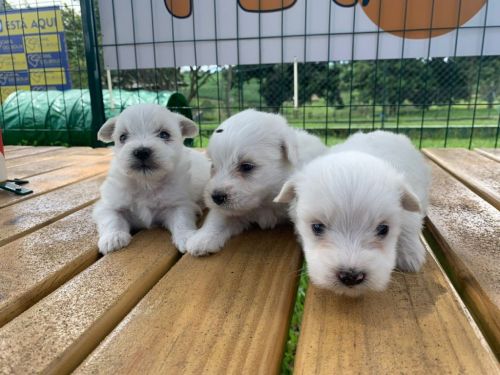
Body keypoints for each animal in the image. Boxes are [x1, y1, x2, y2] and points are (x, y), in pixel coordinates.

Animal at [92, 103, 209, 256]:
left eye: (164, 134)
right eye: (122, 137)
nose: (141, 152)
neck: (146, 183)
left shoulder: (178, 204)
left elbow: (182, 220)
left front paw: (187, 237)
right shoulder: (108, 205)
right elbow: (111, 218)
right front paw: (113, 237)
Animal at [186, 107, 326, 258]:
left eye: (247, 166)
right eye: (213, 166)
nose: (216, 197)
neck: (266, 201)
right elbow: (218, 217)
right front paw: (202, 239)